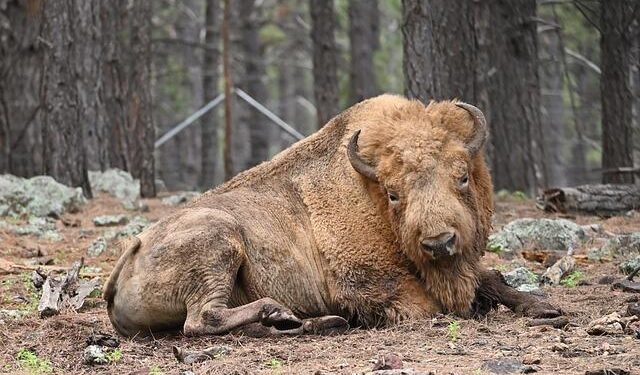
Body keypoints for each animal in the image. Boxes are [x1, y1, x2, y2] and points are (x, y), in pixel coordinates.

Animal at [102, 95, 556, 340]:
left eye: (461, 176)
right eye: (394, 193)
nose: (439, 243)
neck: (369, 194)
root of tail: (132, 251)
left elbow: (492, 279)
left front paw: (544, 308)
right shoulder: (370, 284)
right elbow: (428, 306)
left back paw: (303, 321)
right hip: (219, 240)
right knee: (201, 320)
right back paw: (278, 312)